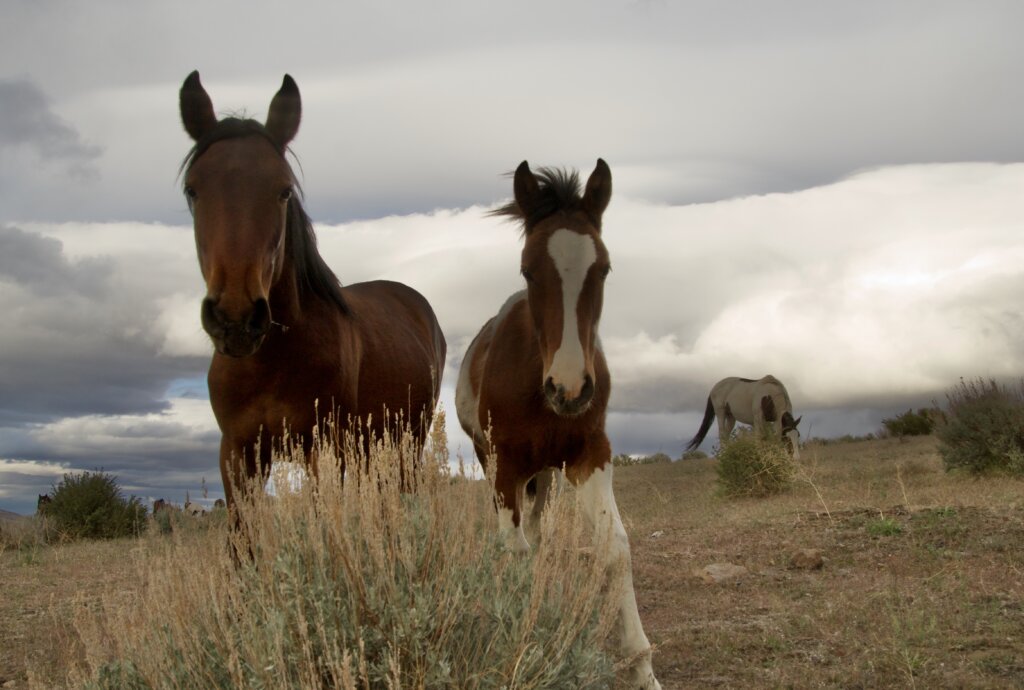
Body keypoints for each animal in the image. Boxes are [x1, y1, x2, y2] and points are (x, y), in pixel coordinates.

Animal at [179, 72, 446, 511]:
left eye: (284, 190)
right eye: (192, 190)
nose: (236, 317)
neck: (271, 360)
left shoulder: (325, 450)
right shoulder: (238, 454)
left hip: (407, 440)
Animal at [456, 160, 660, 690]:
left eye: (603, 267)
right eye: (528, 269)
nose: (569, 388)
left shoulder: (590, 454)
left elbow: (615, 547)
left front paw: (641, 666)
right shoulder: (505, 466)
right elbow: (513, 548)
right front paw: (520, 638)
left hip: (546, 474)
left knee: (539, 531)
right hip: (497, 465)